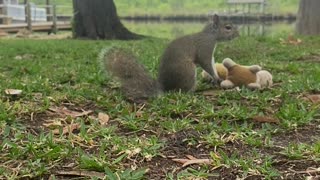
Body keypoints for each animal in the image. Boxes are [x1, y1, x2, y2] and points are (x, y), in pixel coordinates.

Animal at [101, 14, 239, 102]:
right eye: (228, 27)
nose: (238, 35)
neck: (210, 36)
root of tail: (164, 88)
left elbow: (211, 64)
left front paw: (214, 78)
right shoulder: (204, 48)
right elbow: (206, 63)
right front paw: (216, 78)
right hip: (187, 70)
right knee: (182, 90)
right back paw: (193, 92)